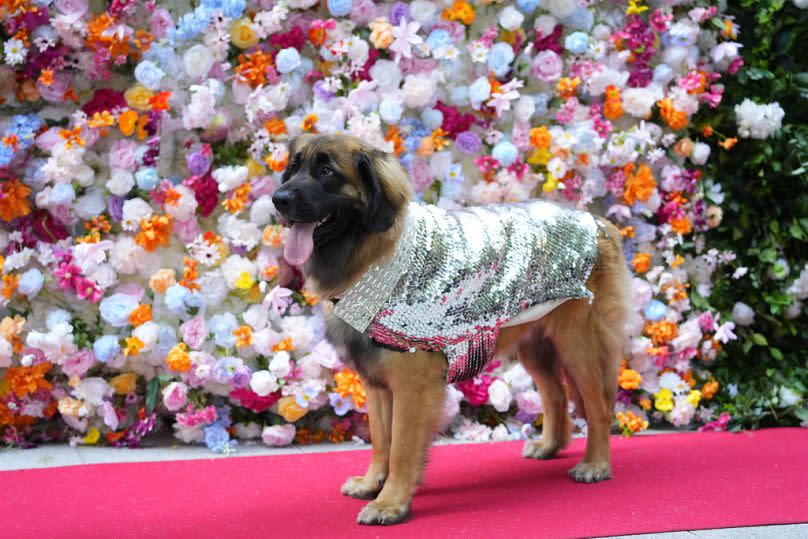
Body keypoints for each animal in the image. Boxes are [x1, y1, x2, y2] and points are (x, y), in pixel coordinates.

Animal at [274, 133, 636, 524]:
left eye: (326, 171)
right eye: (293, 167)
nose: (278, 199)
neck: (374, 255)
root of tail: (596, 221)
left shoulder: (412, 385)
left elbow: (401, 446)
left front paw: (390, 501)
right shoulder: (377, 382)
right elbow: (381, 439)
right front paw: (373, 483)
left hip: (579, 343)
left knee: (599, 404)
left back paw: (595, 463)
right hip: (536, 343)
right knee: (556, 396)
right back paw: (550, 446)